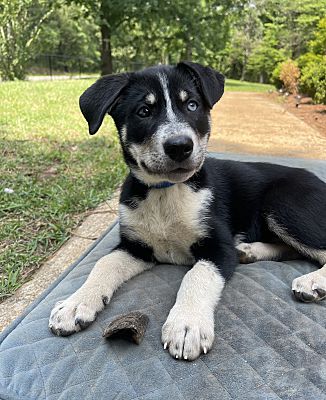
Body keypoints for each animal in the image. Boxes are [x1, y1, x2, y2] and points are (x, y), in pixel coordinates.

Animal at [48, 61, 326, 360]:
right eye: (143, 111)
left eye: (192, 105)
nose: (180, 146)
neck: (166, 192)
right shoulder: (136, 247)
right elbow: (104, 263)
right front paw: (75, 304)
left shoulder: (218, 247)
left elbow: (197, 275)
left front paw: (186, 324)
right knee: (292, 249)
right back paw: (249, 251)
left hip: (283, 204)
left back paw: (312, 282)